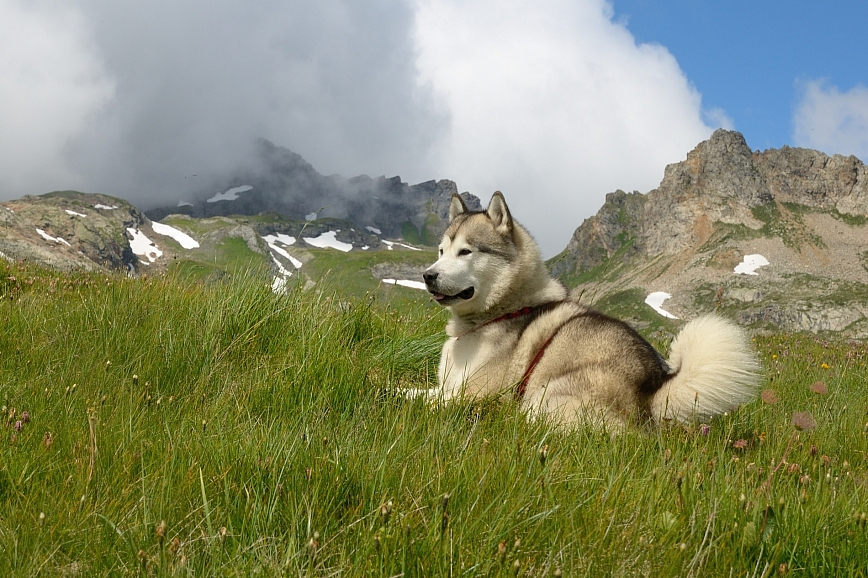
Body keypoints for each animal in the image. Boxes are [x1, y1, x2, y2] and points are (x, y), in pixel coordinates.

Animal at [420, 191, 760, 426]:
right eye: (441, 251)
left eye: (465, 252)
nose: (427, 275)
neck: (503, 309)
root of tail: (653, 390)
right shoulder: (447, 387)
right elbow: (417, 391)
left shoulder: (472, 394)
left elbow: (422, 400)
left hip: (544, 397)